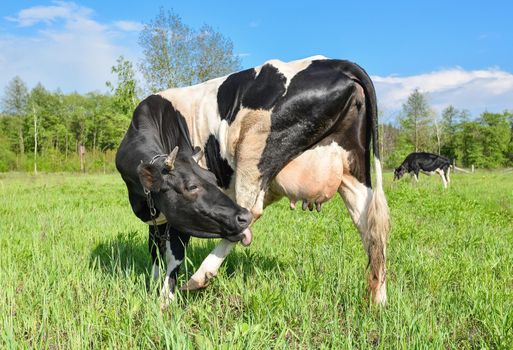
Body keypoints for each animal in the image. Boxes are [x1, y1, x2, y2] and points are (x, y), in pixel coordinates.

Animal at [117, 55, 388, 306]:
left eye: (207, 179)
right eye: (193, 186)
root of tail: (336, 62)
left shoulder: (180, 215)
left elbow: (174, 254)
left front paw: (165, 300)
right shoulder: (156, 216)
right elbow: (154, 249)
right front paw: (154, 285)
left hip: (254, 151)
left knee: (251, 211)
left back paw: (200, 276)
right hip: (353, 168)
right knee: (370, 226)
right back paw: (378, 301)